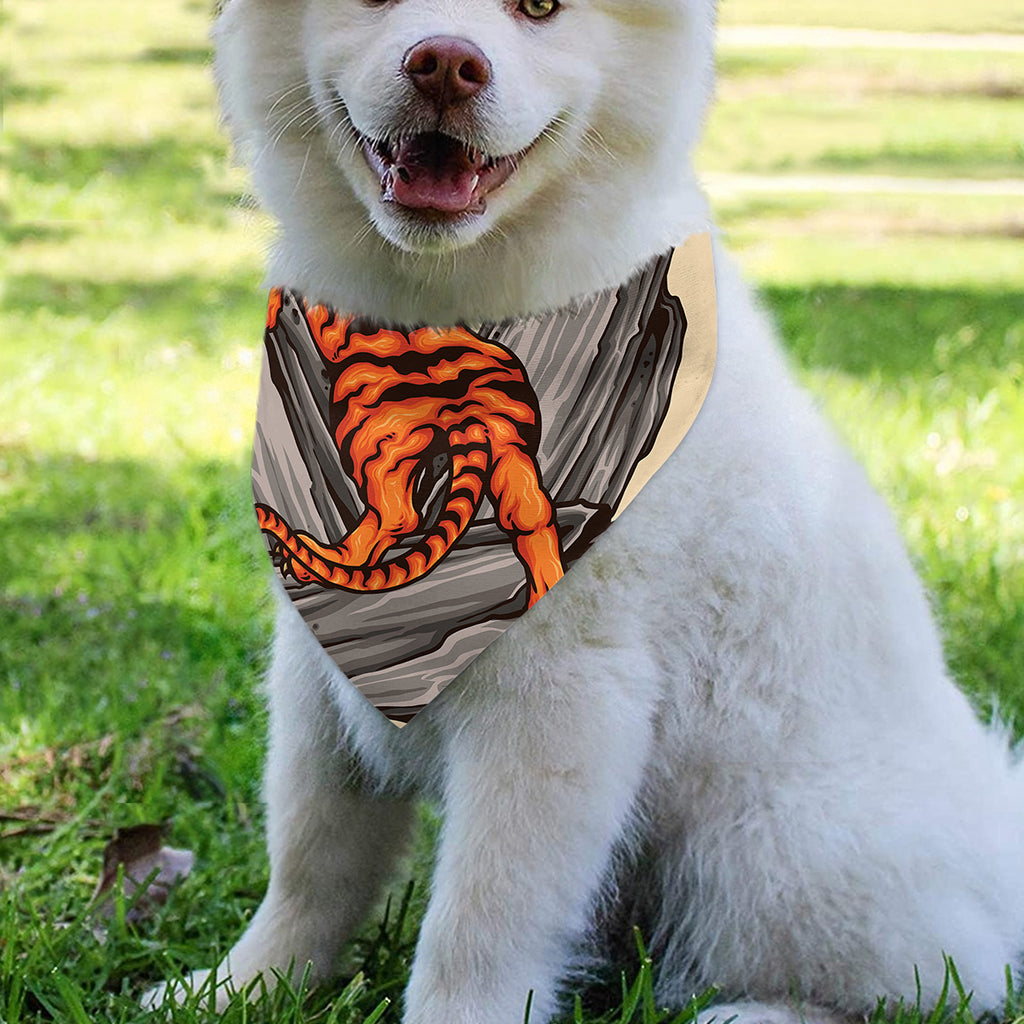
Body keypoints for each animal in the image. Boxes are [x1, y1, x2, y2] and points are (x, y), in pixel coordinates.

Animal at [255, 289, 565, 608]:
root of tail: (464, 416)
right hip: (510, 444)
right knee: (531, 514)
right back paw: (544, 590)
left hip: (371, 447)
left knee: (397, 517)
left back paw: (313, 558)